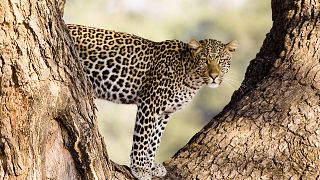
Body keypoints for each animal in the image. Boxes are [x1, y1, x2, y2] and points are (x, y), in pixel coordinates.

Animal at [67, 24, 238, 180]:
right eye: (204, 60)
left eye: (222, 61)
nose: (214, 76)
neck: (191, 77)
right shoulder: (150, 103)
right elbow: (143, 137)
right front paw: (140, 168)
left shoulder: (165, 112)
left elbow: (155, 139)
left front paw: (151, 165)